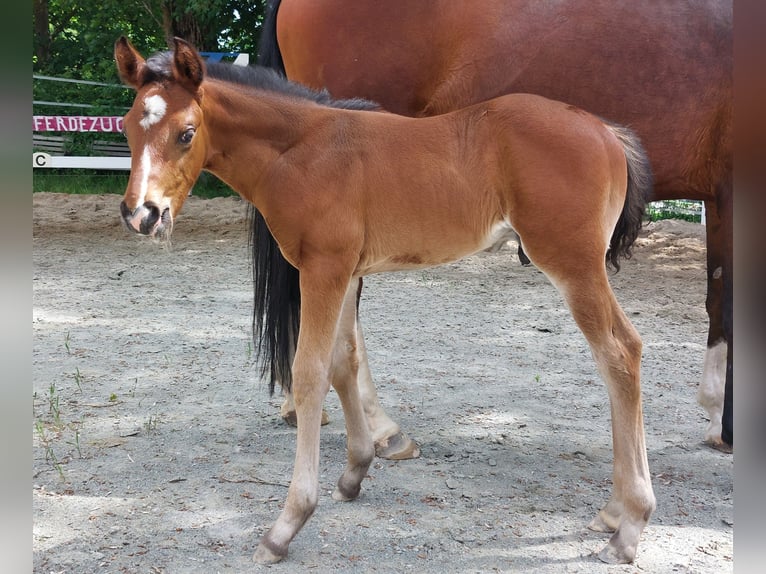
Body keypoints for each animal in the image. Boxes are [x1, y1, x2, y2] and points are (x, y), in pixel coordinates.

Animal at [115, 36, 655, 565]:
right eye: (126, 128)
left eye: (186, 133)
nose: (142, 214)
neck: (302, 150)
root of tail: (606, 131)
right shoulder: (346, 272)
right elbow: (344, 363)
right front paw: (355, 471)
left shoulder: (323, 269)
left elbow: (309, 374)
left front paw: (286, 525)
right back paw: (613, 512)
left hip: (572, 264)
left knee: (619, 353)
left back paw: (629, 526)